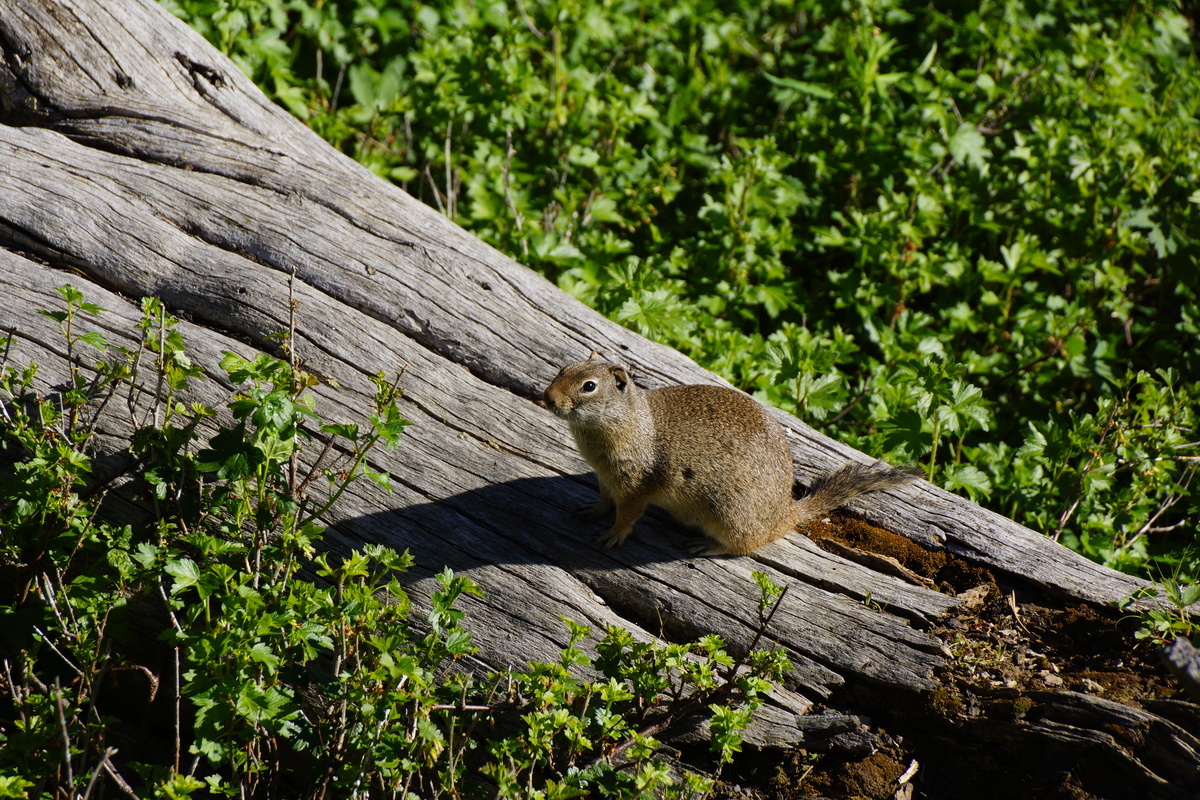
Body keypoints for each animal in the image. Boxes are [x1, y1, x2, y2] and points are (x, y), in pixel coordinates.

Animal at [544, 352, 916, 554]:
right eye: (563, 369)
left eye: (589, 387)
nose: (548, 398)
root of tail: (784, 513)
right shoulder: (605, 477)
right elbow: (604, 500)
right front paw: (591, 511)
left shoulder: (637, 486)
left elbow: (627, 515)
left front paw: (612, 534)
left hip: (730, 518)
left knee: (743, 547)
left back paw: (707, 546)